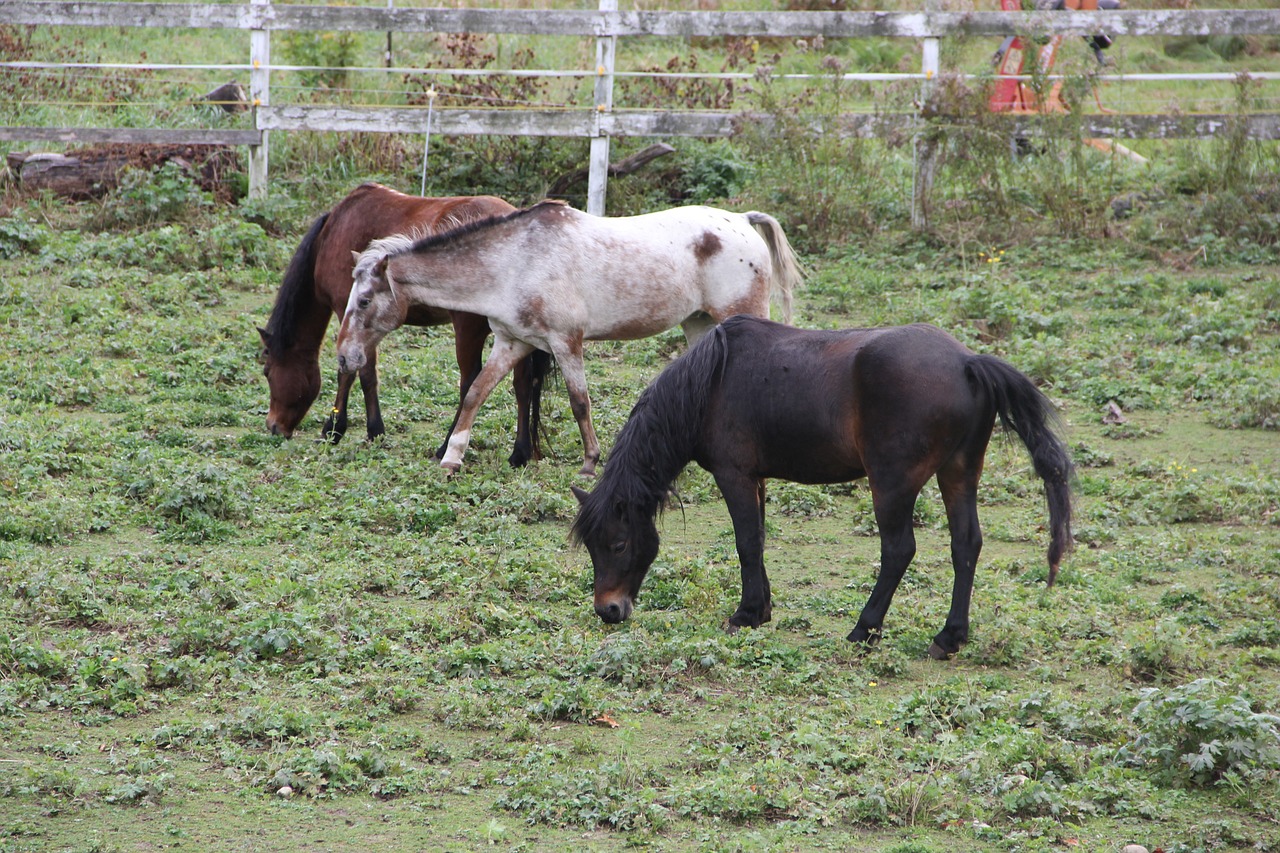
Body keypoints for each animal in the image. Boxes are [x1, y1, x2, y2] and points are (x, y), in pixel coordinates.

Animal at [254, 180, 545, 466]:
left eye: (267, 372)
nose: (273, 426)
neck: (330, 234)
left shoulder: (349, 314)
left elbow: (354, 373)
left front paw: (340, 430)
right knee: (522, 384)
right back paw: (519, 453)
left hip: (469, 329)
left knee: (469, 382)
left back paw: (446, 447)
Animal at [340, 202, 798, 473]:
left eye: (364, 301)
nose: (346, 357)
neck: (516, 261)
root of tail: (742, 221)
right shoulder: (511, 343)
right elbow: (475, 393)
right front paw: (452, 457)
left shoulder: (566, 343)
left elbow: (580, 402)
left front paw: (590, 462)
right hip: (701, 325)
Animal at [570, 315, 1070, 653]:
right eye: (591, 547)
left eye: (618, 544)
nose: (607, 611)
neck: (711, 382)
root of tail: (967, 362)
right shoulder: (757, 479)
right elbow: (759, 540)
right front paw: (762, 610)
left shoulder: (735, 475)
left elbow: (746, 542)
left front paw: (745, 615)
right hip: (959, 473)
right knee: (965, 546)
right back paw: (949, 637)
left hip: (891, 484)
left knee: (898, 550)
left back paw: (865, 629)